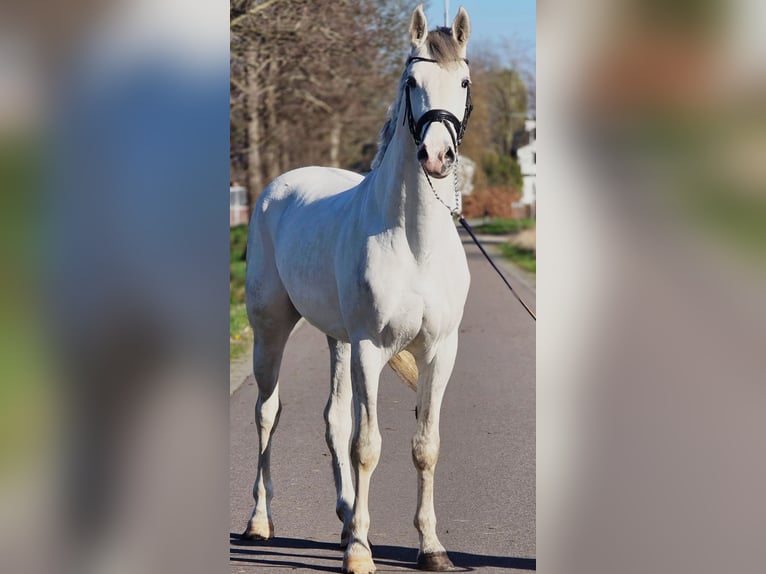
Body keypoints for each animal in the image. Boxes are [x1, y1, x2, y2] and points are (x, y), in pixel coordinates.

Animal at [242, 6, 473, 573]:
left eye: (463, 81)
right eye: (412, 82)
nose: (437, 155)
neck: (414, 244)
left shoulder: (440, 351)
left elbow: (424, 444)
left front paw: (430, 547)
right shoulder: (371, 348)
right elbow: (367, 445)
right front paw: (360, 554)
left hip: (338, 341)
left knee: (333, 420)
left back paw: (347, 515)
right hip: (271, 331)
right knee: (267, 414)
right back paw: (260, 520)